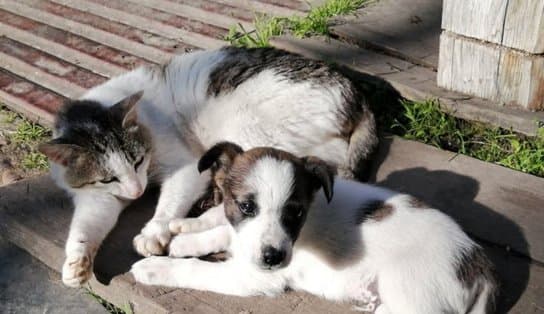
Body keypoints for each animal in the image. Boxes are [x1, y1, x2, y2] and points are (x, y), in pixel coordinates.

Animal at [39, 46, 378, 288]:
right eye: (107, 179)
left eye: (137, 160)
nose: (136, 192)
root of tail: (358, 97)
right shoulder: (98, 197)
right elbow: (84, 226)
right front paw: (76, 263)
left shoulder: (187, 166)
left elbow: (169, 202)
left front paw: (154, 231)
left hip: (247, 128)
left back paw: (190, 223)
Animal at [132, 143, 498, 314]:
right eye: (247, 206)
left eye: (295, 212)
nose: (273, 258)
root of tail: (480, 266)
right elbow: (222, 231)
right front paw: (184, 239)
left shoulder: (253, 277)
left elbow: (197, 270)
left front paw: (156, 268)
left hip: (410, 291)